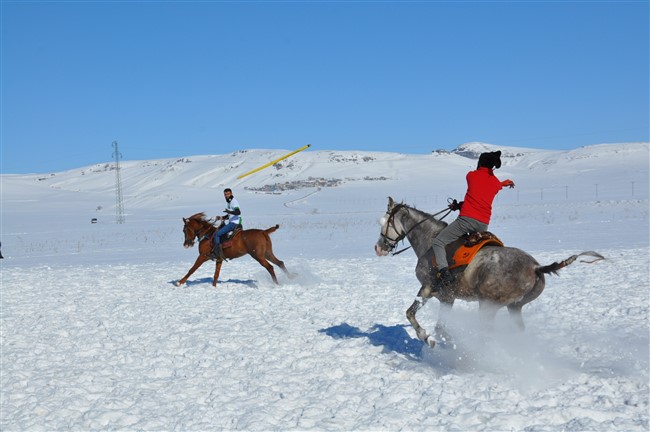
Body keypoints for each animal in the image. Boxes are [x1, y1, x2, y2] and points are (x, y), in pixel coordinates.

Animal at [374, 197, 604, 350]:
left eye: (384, 223)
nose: (378, 247)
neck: (430, 240)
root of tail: (535, 268)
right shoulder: (447, 298)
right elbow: (441, 327)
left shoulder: (428, 288)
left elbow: (411, 314)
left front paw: (427, 338)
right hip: (514, 307)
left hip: (488, 305)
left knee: (488, 334)